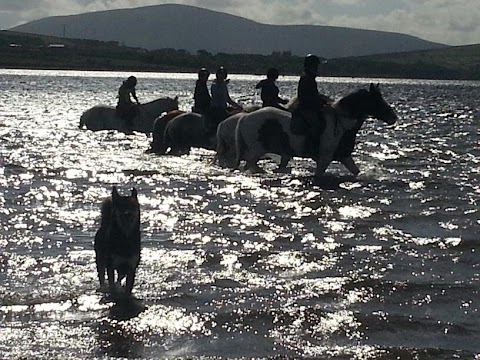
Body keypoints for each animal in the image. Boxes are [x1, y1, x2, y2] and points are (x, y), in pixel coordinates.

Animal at [235, 84, 398, 180]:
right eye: (377, 100)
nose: (393, 118)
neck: (342, 124)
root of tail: (245, 117)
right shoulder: (324, 159)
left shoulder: (344, 156)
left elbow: (356, 171)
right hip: (256, 150)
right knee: (249, 165)